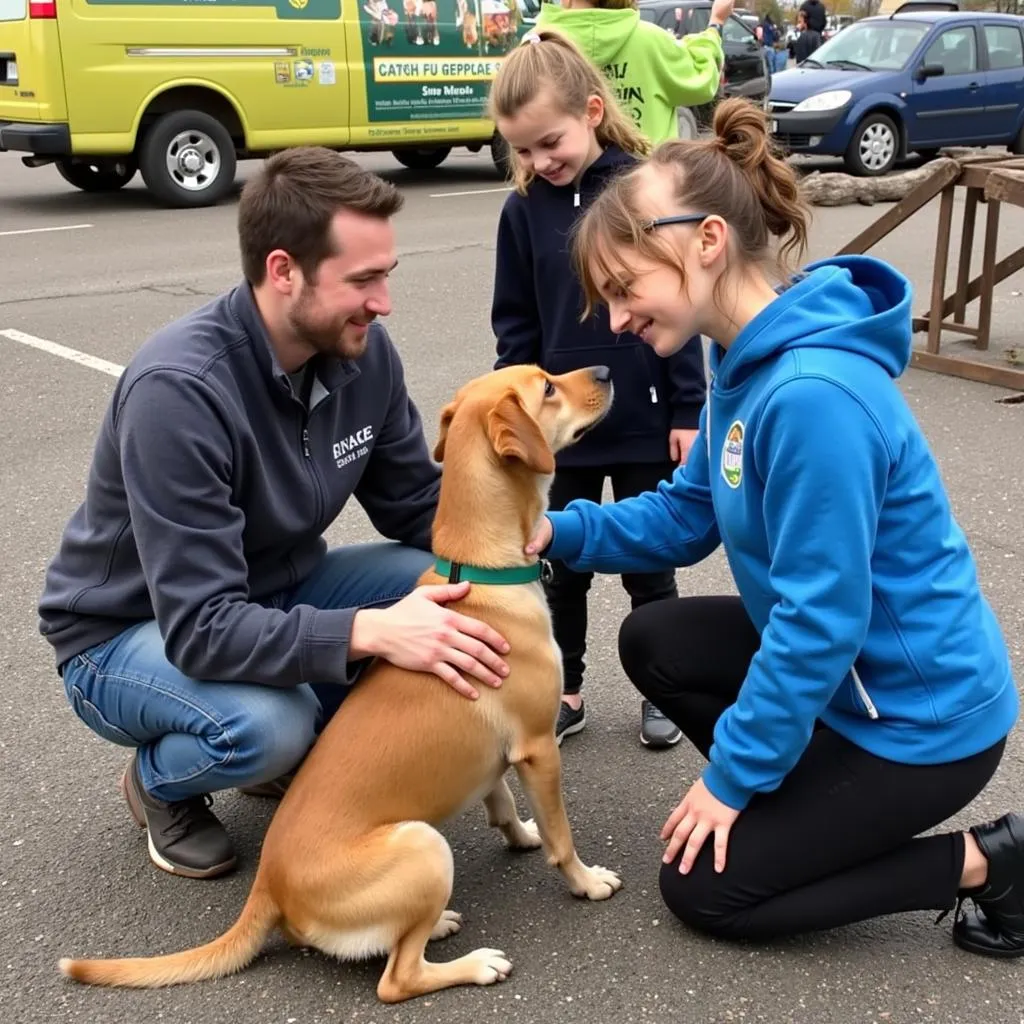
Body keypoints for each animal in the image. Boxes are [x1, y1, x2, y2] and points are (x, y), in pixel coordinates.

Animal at [61, 364, 622, 1003]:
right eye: (547, 387)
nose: (605, 370)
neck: (480, 573)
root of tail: (269, 887)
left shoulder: (496, 759)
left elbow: (501, 800)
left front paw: (521, 834)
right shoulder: (537, 747)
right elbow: (562, 836)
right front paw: (584, 880)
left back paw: (440, 924)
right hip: (425, 847)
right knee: (396, 980)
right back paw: (472, 962)